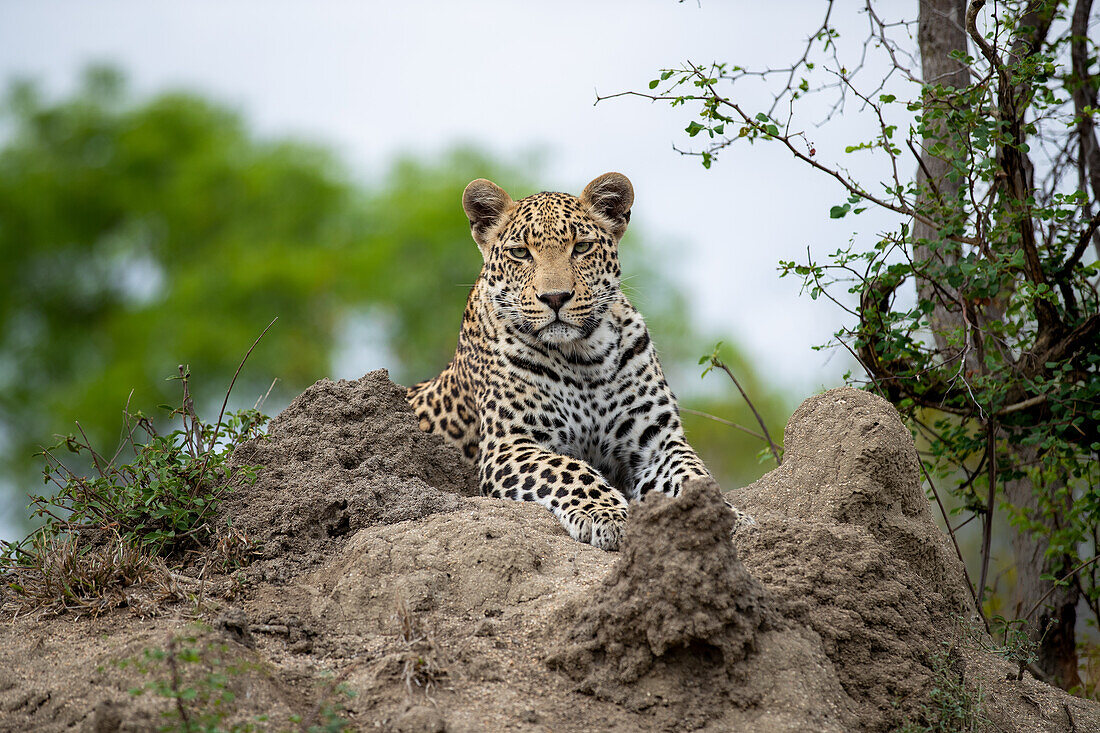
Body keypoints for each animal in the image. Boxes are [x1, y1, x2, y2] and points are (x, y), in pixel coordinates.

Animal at [409, 172, 752, 548]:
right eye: (520, 253)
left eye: (582, 247)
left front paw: (720, 515)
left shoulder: (657, 438)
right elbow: (568, 470)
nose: (555, 297)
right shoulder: (510, 444)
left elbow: (693, 473)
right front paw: (608, 515)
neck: (584, 357)